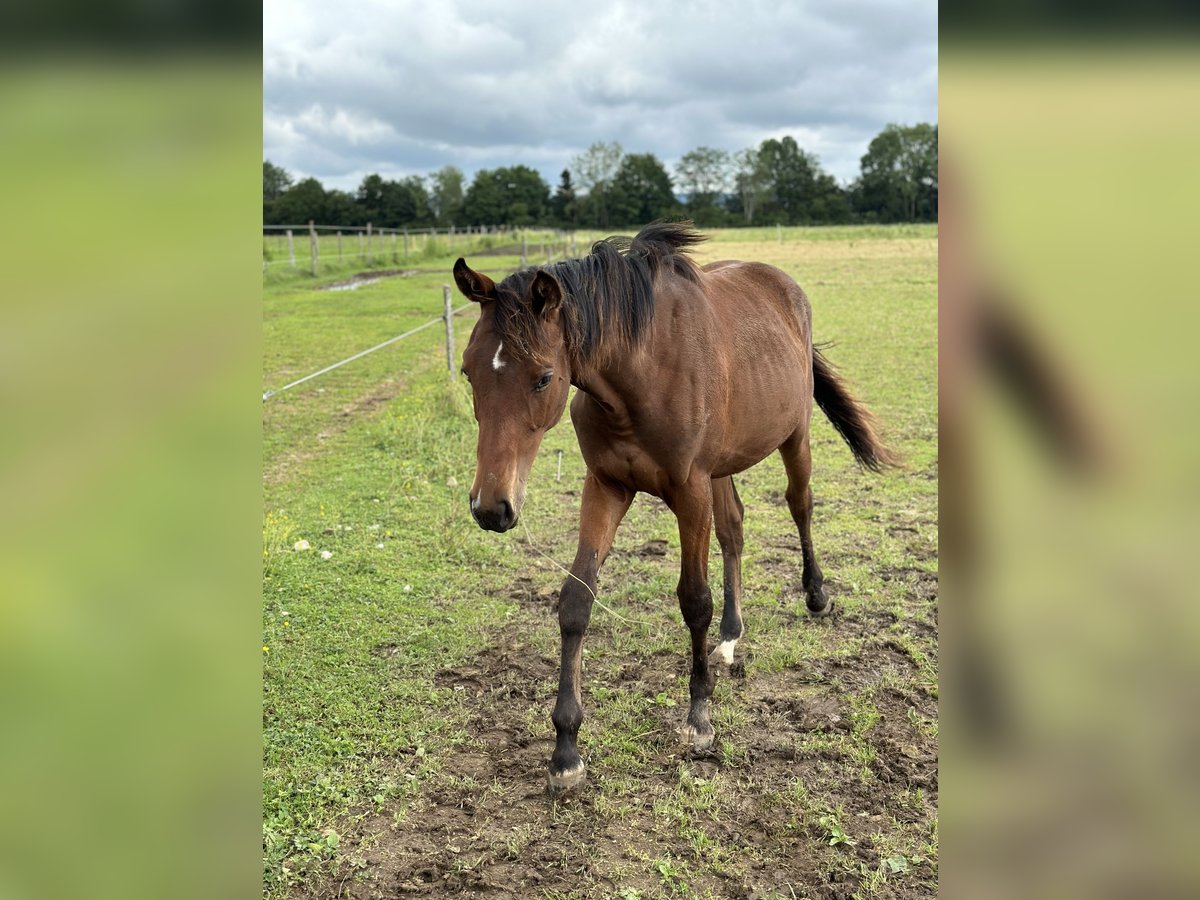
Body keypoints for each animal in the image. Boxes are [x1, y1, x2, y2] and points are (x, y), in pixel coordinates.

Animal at [453, 224, 897, 796]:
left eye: (544, 377)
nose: (491, 507)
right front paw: (566, 749)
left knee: (800, 506)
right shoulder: (607, 486)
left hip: (793, 436)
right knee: (734, 530)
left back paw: (816, 595)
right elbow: (576, 600)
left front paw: (699, 718)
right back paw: (730, 638)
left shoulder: (690, 491)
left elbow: (694, 600)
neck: (640, 377)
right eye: (468, 371)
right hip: (723, 469)